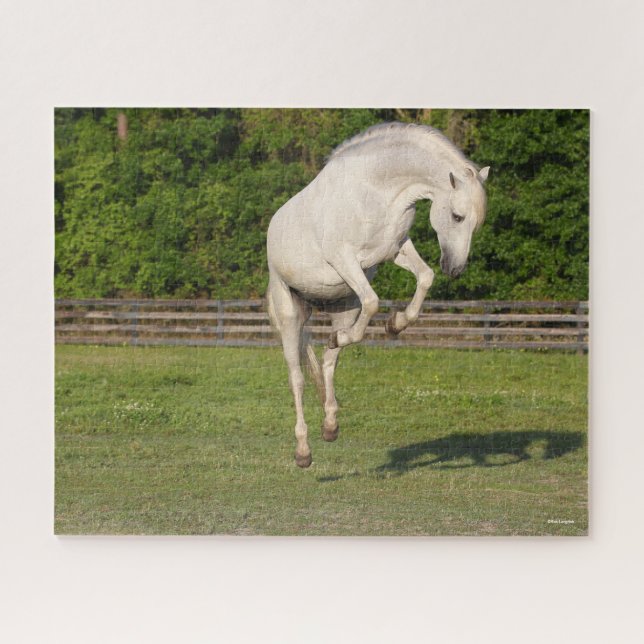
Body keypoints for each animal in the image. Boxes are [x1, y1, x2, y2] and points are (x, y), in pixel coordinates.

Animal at [266, 122, 490, 468]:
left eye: (476, 223)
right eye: (456, 216)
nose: (455, 268)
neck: (374, 191)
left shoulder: (393, 250)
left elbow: (425, 277)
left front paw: (396, 324)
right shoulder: (344, 260)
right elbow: (373, 301)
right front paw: (388, 324)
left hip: (343, 305)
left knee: (329, 361)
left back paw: (331, 424)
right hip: (289, 311)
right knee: (297, 378)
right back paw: (303, 451)